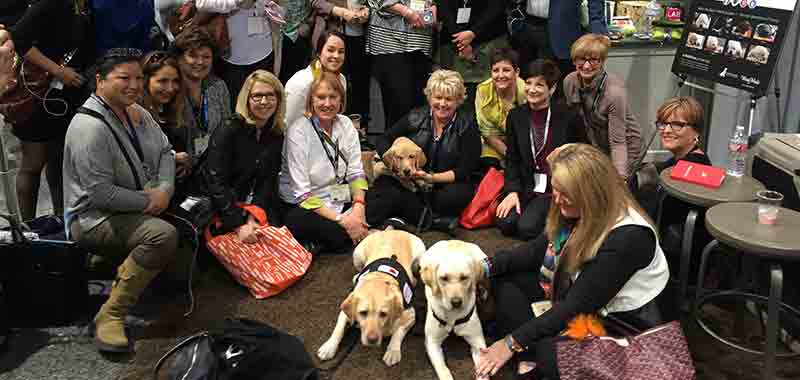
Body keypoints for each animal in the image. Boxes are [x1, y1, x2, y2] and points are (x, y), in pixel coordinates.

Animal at [316, 227, 424, 366]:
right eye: (363, 313)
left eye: (383, 314)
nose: (372, 339)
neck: (379, 279)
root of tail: (391, 230)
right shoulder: (345, 310)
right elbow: (338, 329)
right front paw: (329, 347)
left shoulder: (410, 314)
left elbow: (398, 332)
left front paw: (392, 351)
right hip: (357, 255)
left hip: (420, 257)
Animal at [418, 240, 488, 380]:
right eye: (444, 278)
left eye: (464, 277)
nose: (456, 302)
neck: (452, 317)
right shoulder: (432, 342)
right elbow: (443, 369)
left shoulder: (478, 342)